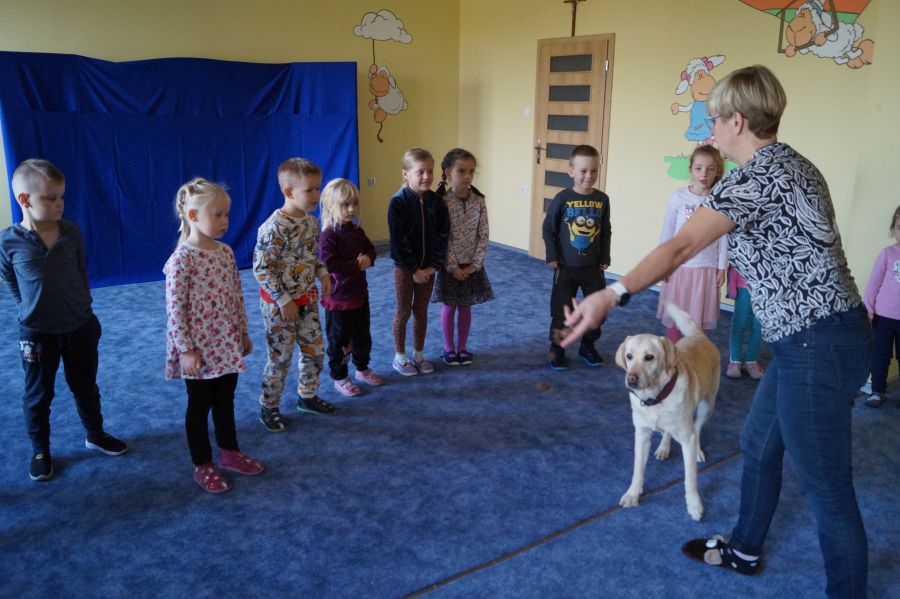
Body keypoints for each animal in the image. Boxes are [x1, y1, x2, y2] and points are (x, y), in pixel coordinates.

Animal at [615, 302, 720, 521]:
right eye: (629, 356)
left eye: (649, 357)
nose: (631, 379)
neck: (656, 398)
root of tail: (699, 335)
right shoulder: (642, 434)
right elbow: (638, 468)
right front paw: (633, 493)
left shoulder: (687, 438)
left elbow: (690, 478)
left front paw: (694, 505)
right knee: (667, 432)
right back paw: (664, 447)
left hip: (708, 405)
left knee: (698, 428)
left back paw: (698, 450)